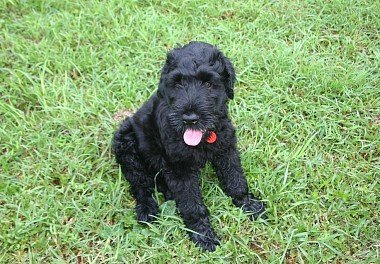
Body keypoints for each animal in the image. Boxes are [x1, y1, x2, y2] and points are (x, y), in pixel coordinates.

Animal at [113, 41, 266, 252]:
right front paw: (203, 236)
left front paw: (248, 204)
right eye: (177, 83)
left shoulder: (226, 149)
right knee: (141, 185)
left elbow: (235, 179)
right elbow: (191, 204)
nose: (190, 118)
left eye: (209, 83)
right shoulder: (179, 169)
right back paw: (147, 209)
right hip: (126, 146)